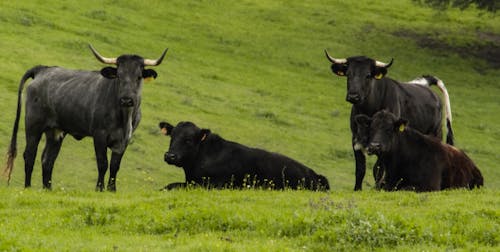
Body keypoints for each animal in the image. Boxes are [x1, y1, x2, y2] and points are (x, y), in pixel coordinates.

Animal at [156, 121, 328, 190]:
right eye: (172, 136)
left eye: (188, 140)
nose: (170, 156)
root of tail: (316, 175)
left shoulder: (214, 184)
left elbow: (172, 185)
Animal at [354, 111, 482, 192]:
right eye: (371, 129)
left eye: (389, 129)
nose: (374, 146)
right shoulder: (384, 183)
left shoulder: (430, 186)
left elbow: (404, 189)